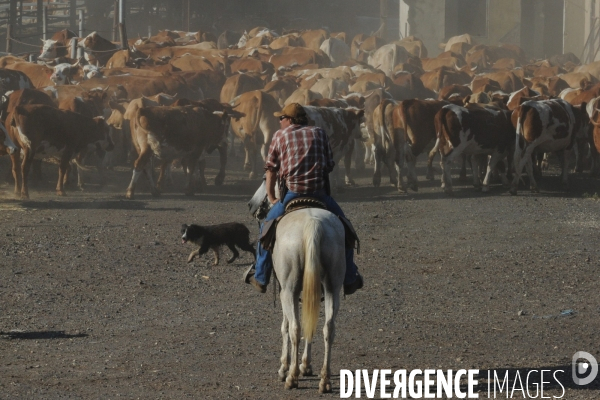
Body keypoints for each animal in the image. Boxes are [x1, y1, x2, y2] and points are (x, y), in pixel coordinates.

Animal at [247, 180, 342, 390]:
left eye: (265, 180)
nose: (251, 205)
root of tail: (313, 224)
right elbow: (310, 323)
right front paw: (305, 365)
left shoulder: (285, 289)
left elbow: (286, 326)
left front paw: (285, 367)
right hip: (332, 288)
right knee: (328, 328)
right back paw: (325, 380)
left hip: (289, 291)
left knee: (295, 328)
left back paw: (291, 377)